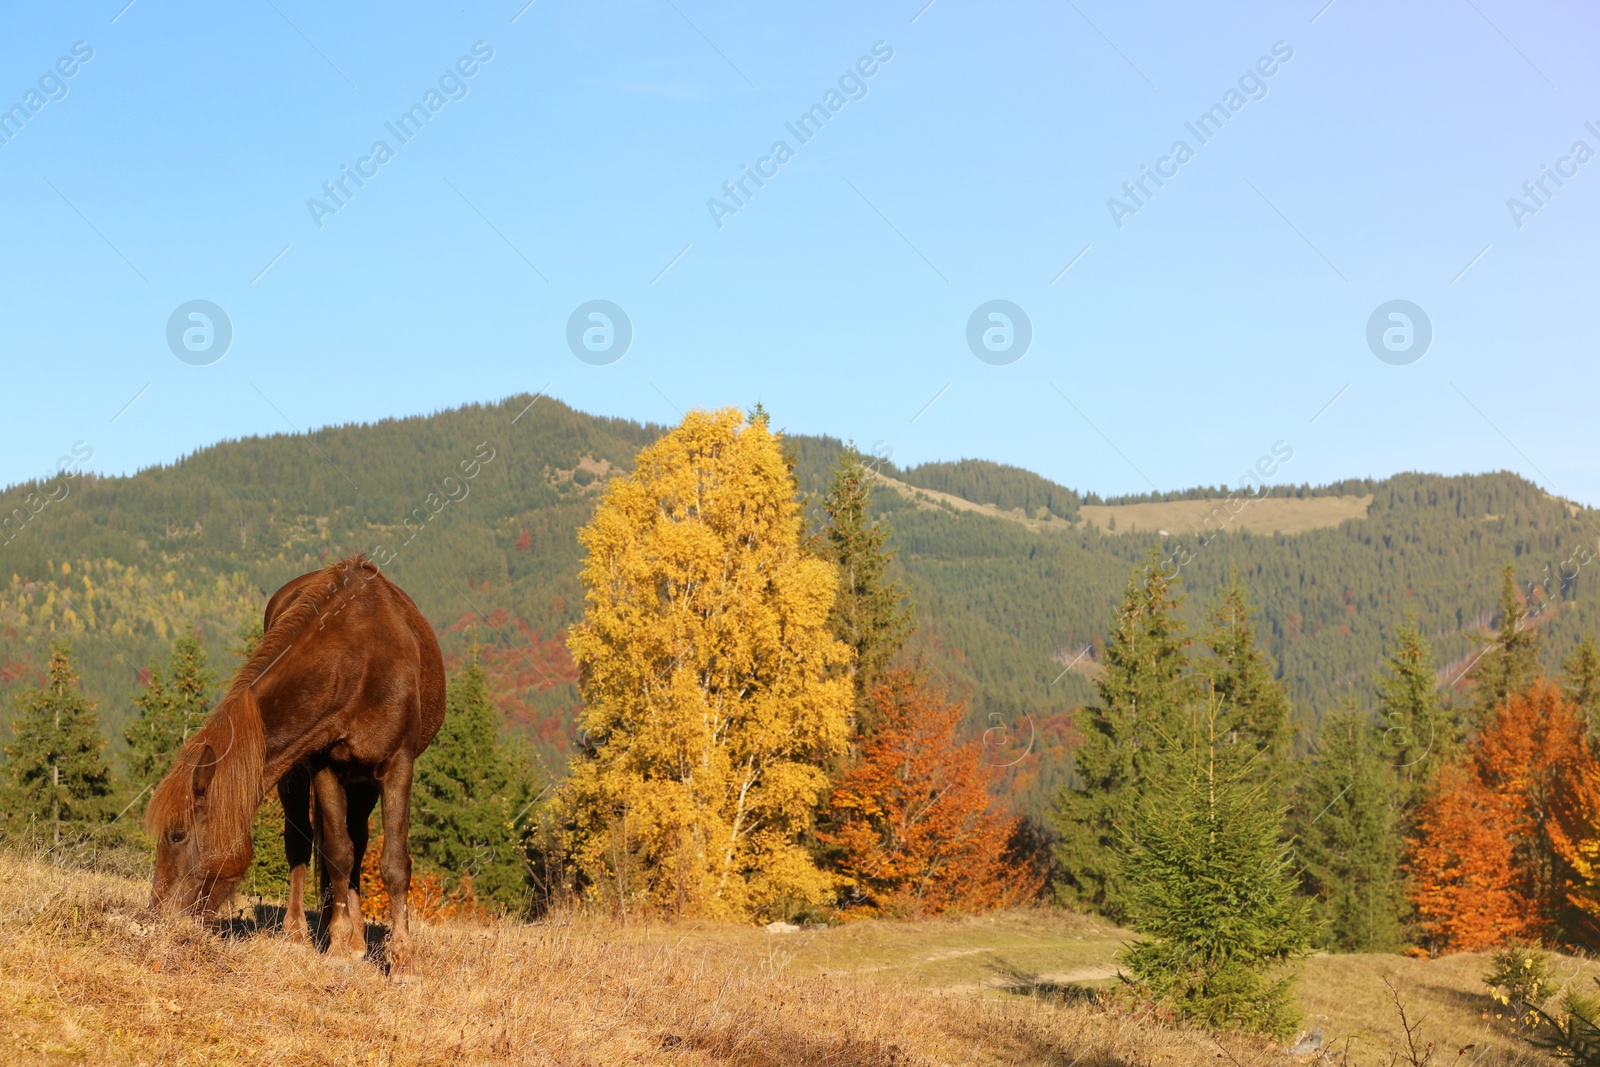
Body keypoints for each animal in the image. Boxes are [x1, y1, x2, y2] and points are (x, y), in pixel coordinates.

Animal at [147, 559, 448, 979]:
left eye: (177, 835)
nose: (157, 916)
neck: (359, 661)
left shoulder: (397, 765)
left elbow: (393, 864)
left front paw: (403, 961)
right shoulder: (323, 765)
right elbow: (337, 854)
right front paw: (338, 948)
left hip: (364, 784)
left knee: (359, 840)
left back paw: (358, 939)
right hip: (299, 774)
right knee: (306, 842)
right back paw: (299, 935)